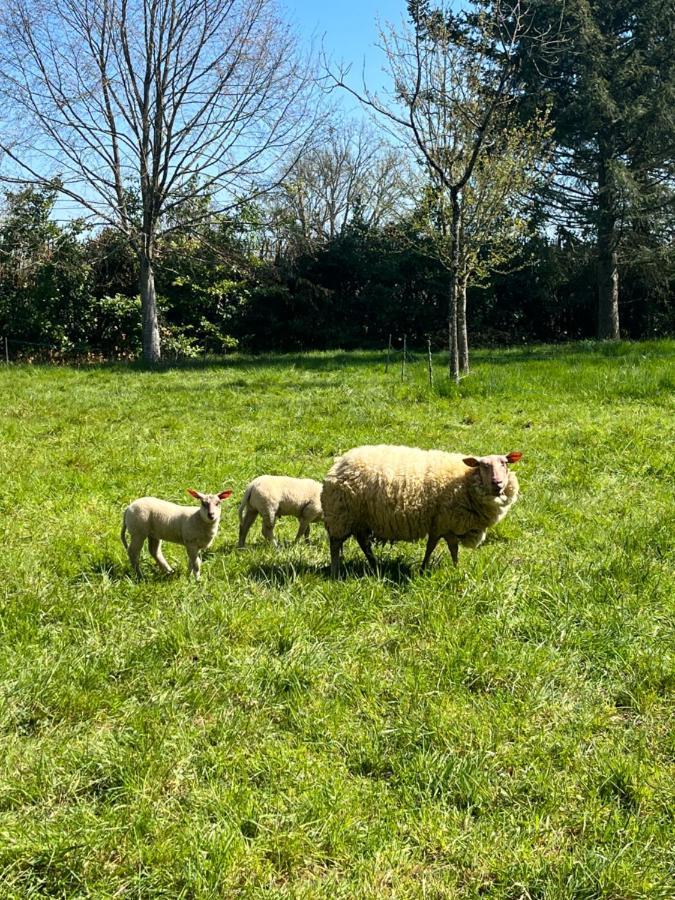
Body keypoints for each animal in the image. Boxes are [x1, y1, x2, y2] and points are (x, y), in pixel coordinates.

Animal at [322, 444, 524, 576]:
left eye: (505, 463)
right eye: (483, 465)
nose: (498, 483)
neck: (465, 481)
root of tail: (338, 463)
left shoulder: (447, 525)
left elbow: (450, 549)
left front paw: (456, 568)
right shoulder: (442, 522)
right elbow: (433, 547)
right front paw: (424, 569)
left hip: (359, 519)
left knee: (363, 543)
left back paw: (375, 565)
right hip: (341, 515)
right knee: (335, 545)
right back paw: (335, 573)